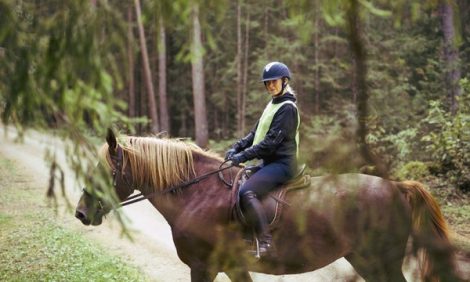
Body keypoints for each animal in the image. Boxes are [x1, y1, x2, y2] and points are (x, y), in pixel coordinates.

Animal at [75, 131, 460, 282]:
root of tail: (397, 186)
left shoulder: (203, 266)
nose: (81, 213)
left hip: (381, 260)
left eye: (103, 171)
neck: (196, 195)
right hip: (365, 261)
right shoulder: (233, 267)